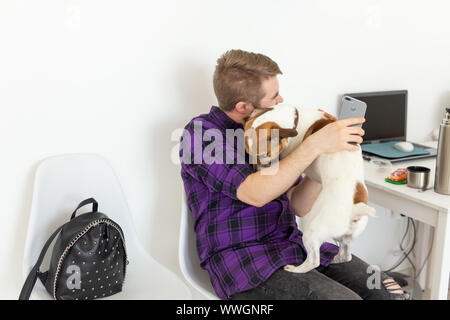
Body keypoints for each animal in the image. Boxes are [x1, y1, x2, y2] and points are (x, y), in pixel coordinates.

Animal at [243, 104, 376, 272]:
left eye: (264, 154)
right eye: (249, 154)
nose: (255, 171)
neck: (294, 120)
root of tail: (355, 207)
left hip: (312, 231)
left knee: (314, 261)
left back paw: (295, 269)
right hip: (342, 236)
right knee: (346, 255)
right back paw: (336, 259)